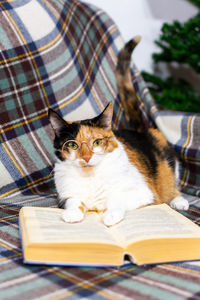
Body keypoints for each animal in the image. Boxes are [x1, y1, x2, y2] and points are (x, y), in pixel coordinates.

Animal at [48, 36, 189, 226]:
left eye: (97, 142)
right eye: (72, 145)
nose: (87, 158)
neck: (91, 177)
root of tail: (141, 131)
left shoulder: (144, 192)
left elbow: (117, 198)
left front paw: (110, 215)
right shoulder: (65, 194)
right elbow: (74, 201)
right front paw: (72, 214)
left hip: (170, 165)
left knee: (172, 185)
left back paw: (179, 201)